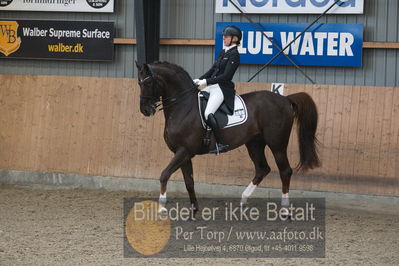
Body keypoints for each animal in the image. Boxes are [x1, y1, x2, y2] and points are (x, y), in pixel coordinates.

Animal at [135, 60, 322, 214]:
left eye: (149, 82)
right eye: (138, 82)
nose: (145, 110)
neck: (183, 107)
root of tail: (285, 99)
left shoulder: (184, 151)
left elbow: (164, 174)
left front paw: (161, 207)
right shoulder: (182, 154)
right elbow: (189, 182)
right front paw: (194, 211)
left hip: (277, 144)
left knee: (285, 171)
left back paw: (284, 210)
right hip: (254, 143)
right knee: (262, 169)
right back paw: (243, 201)